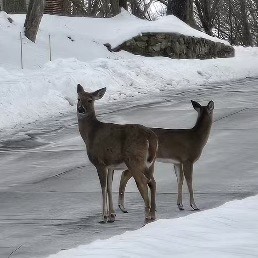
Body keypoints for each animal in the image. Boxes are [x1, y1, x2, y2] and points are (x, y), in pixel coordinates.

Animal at [75, 85, 158, 224]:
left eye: (90, 100)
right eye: (78, 99)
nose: (80, 109)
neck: (90, 134)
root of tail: (150, 137)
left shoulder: (100, 162)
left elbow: (103, 188)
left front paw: (103, 216)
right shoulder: (110, 165)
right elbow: (109, 187)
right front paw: (112, 215)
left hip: (134, 159)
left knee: (143, 182)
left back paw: (147, 215)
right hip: (150, 162)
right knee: (152, 181)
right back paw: (152, 214)